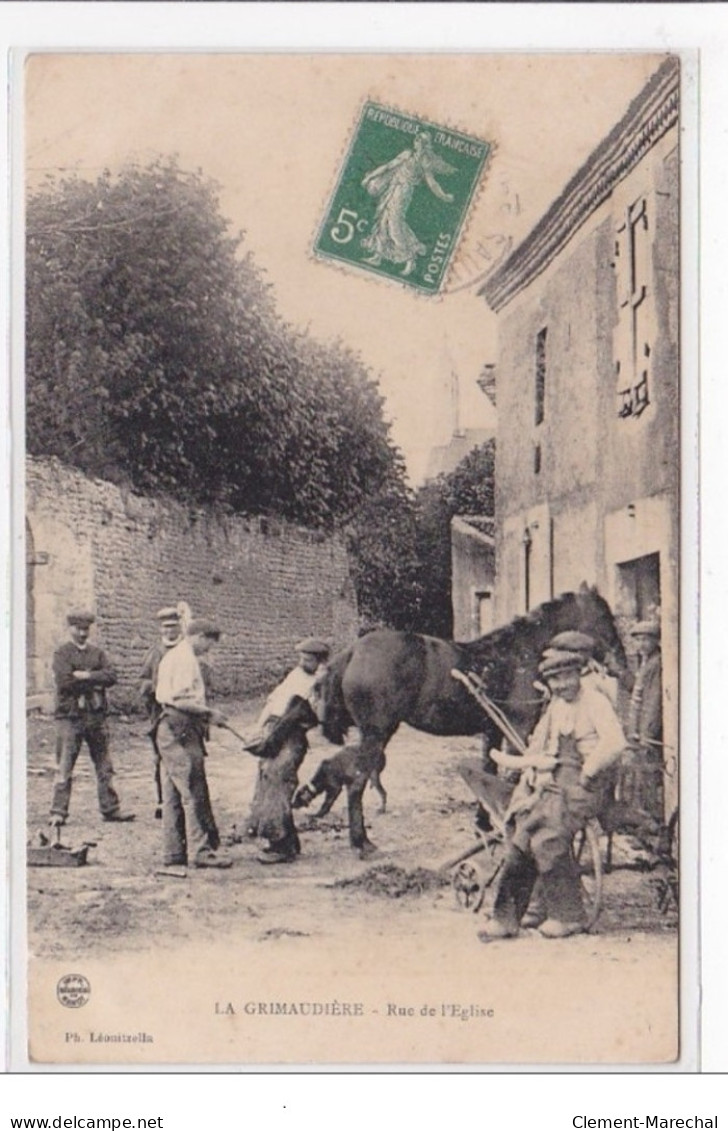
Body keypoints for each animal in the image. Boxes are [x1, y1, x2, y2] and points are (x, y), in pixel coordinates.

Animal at [316, 583, 628, 855]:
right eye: (604, 616)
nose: (621, 665)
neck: (519, 655)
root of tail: (354, 651)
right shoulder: (518, 729)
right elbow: (512, 776)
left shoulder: (493, 732)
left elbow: (488, 771)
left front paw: (483, 824)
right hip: (376, 734)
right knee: (356, 784)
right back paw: (361, 843)